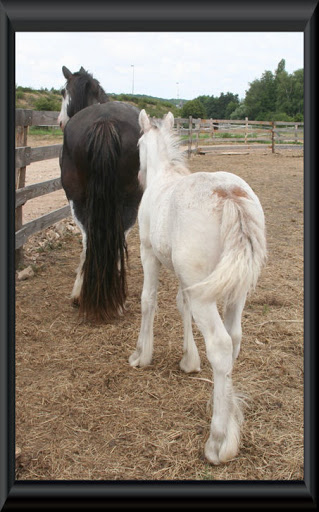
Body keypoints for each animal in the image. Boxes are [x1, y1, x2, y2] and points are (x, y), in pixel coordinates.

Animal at [130, 110, 268, 466]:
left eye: (137, 145)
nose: (138, 176)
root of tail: (229, 194)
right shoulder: (187, 279)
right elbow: (182, 305)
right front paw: (189, 360)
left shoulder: (148, 253)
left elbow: (149, 300)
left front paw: (141, 354)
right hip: (235, 289)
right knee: (234, 338)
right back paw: (229, 418)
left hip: (208, 292)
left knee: (220, 344)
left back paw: (218, 441)